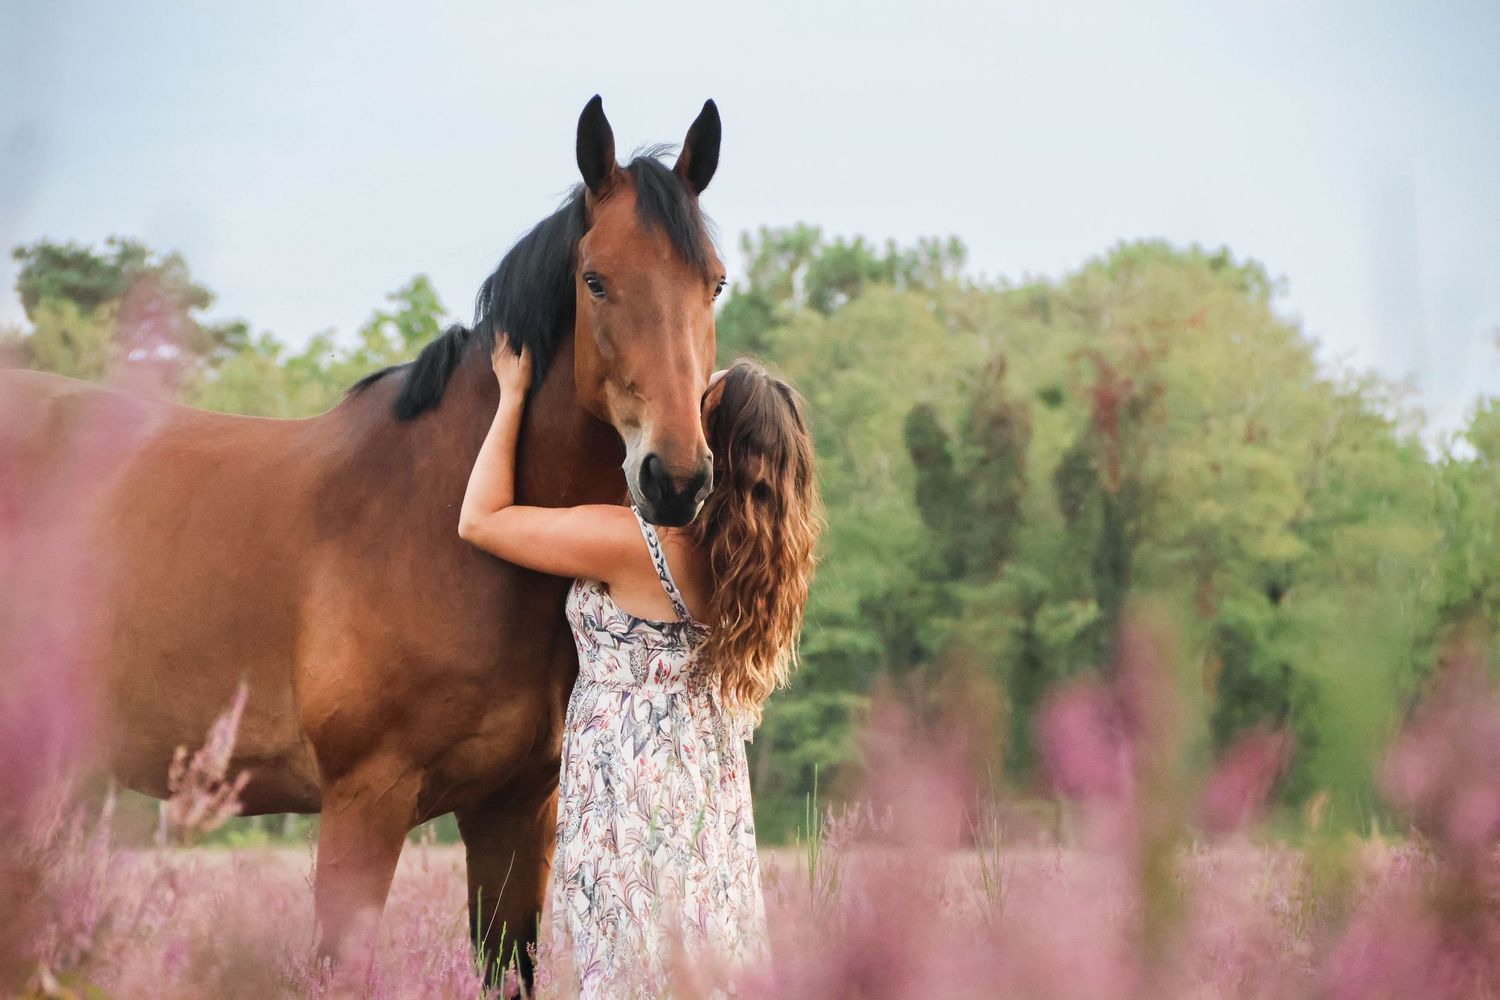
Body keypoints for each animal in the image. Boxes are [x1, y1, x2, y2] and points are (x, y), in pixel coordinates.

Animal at [0, 94, 725, 978]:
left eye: (714, 284)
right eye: (596, 281)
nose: (676, 478)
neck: (451, 535)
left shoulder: (516, 811)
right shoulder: (363, 804)